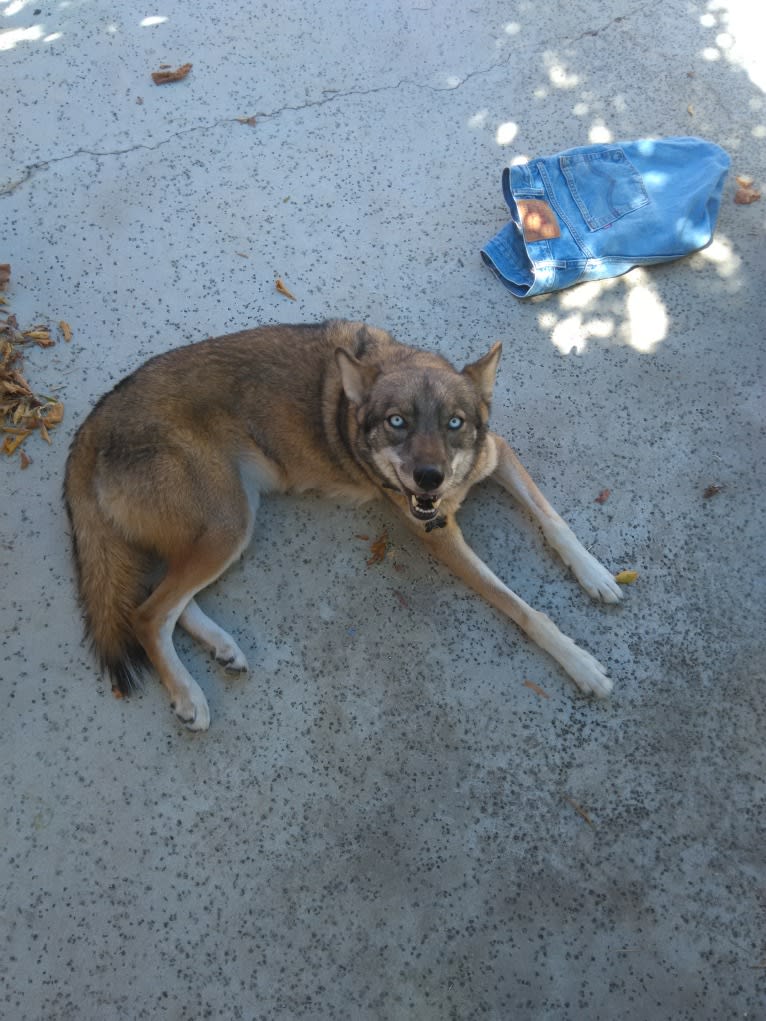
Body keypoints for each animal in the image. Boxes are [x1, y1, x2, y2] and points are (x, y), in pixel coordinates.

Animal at [65, 318, 625, 726]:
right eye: (397, 422)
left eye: (455, 423)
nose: (429, 480)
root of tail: (93, 421)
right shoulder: (441, 537)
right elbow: (526, 610)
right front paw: (579, 662)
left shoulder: (500, 454)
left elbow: (555, 522)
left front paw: (596, 575)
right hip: (229, 525)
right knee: (147, 614)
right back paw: (188, 694)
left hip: (229, 525)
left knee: (164, 600)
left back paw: (221, 647)